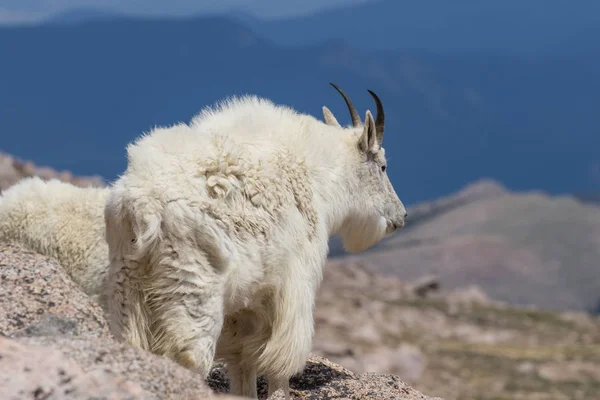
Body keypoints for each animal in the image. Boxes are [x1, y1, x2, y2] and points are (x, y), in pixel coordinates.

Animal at [105, 83, 410, 398]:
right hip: (193, 287)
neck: (318, 178)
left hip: (128, 288)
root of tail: (143, 207)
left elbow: (243, 363)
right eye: (383, 167)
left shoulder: (247, 304)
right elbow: (279, 364)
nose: (401, 216)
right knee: (189, 357)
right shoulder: (293, 285)